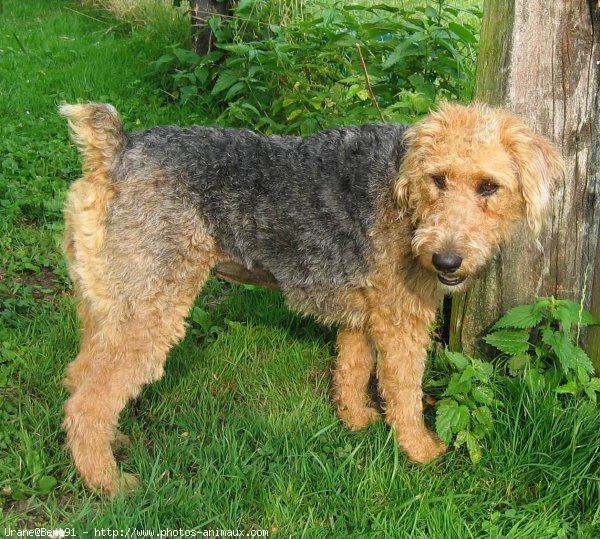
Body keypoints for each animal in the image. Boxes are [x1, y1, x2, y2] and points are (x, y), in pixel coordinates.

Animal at [57, 103, 564, 496]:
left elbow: (353, 371)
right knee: (88, 402)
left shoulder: (364, 317)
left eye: (488, 186)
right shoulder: (402, 321)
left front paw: (356, 421)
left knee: (79, 376)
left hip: (105, 302)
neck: (403, 190)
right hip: (150, 308)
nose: (446, 260)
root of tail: (116, 149)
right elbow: (403, 390)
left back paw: (112, 445)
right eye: (438, 179)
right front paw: (420, 450)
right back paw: (109, 483)